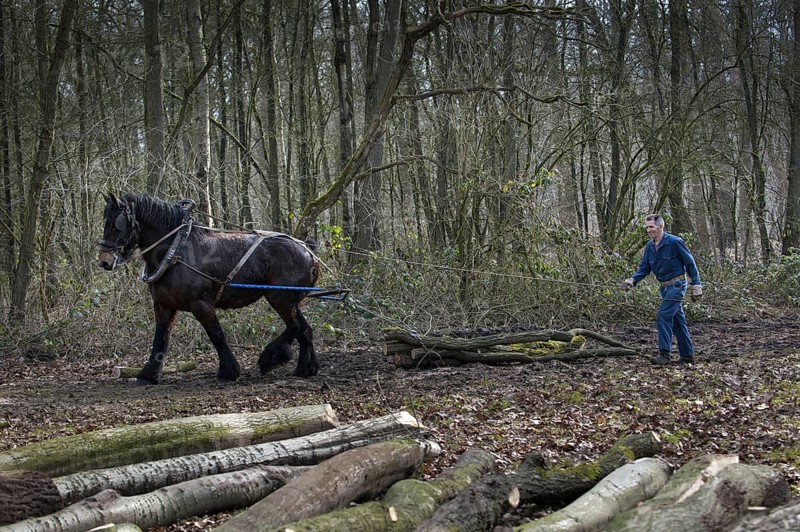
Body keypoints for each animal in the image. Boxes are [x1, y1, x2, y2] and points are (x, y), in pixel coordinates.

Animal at [97, 192, 321, 385]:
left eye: (117, 225)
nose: (104, 262)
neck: (176, 250)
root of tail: (308, 250)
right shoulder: (164, 305)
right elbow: (161, 337)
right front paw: (149, 375)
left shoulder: (201, 304)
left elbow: (216, 335)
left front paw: (229, 371)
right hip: (290, 300)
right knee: (304, 330)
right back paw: (305, 369)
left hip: (280, 298)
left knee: (296, 327)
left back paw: (270, 358)